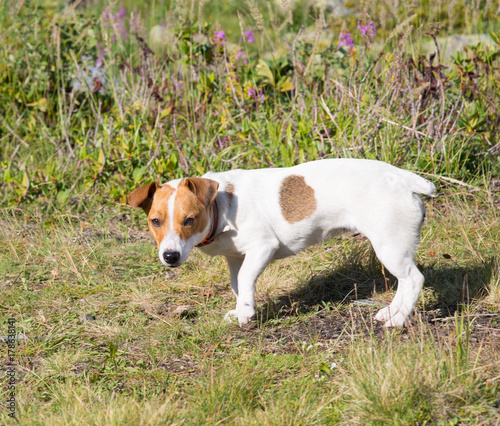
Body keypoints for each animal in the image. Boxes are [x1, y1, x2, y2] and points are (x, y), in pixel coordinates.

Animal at [128, 158, 434, 328]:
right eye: (155, 221)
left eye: (189, 219)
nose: (169, 256)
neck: (221, 206)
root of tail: (402, 178)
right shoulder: (235, 258)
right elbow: (237, 284)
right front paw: (240, 309)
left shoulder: (262, 248)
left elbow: (246, 279)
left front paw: (246, 314)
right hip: (394, 247)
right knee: (404, 282)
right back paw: (392, 312)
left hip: (389, 246)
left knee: (414, 279)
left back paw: (398, 320)